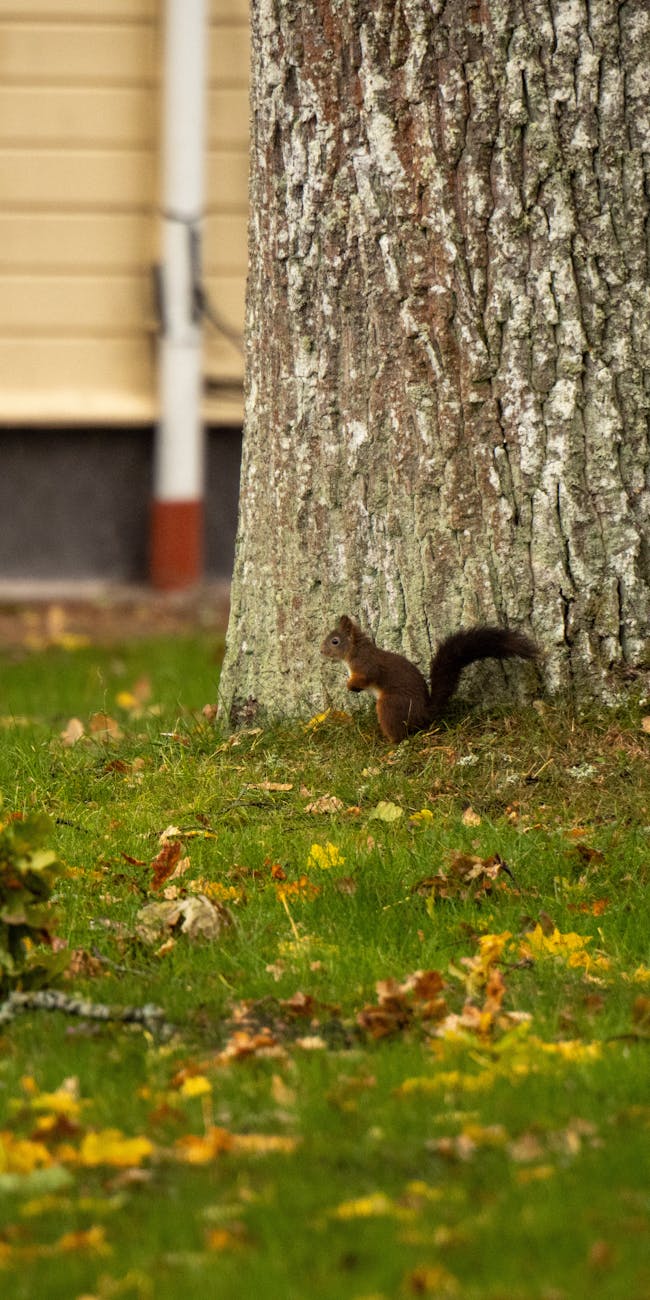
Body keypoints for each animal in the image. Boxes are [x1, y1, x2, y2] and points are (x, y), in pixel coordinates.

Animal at [321, 614, 538, 743]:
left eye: (335, 641)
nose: (321, 651)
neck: (354, 652)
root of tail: (423, 714)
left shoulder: (367, 666)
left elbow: (367, 677)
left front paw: (350, 685)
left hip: (390, 705)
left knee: (399, 735)